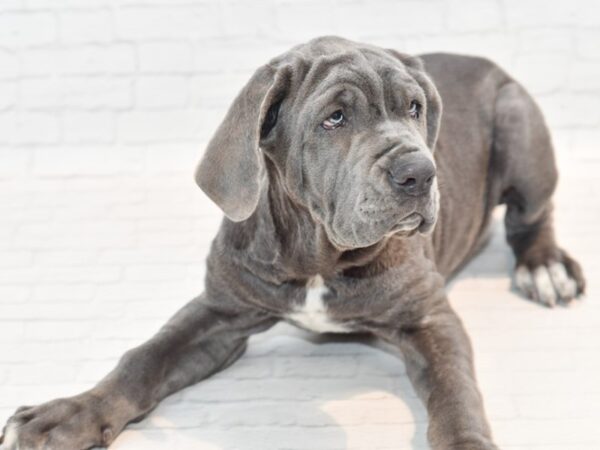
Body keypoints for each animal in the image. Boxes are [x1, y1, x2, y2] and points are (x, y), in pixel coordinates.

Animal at [0, 37, 584, 450]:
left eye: (415, 109)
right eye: (335, 118)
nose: (420, 172)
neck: (319, 257)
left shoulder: (430, 317)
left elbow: (455, 394)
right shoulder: (220, 311)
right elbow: (143, 359)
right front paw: (69, 414)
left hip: (520, 123)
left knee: (532, 216)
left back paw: (544, 265)